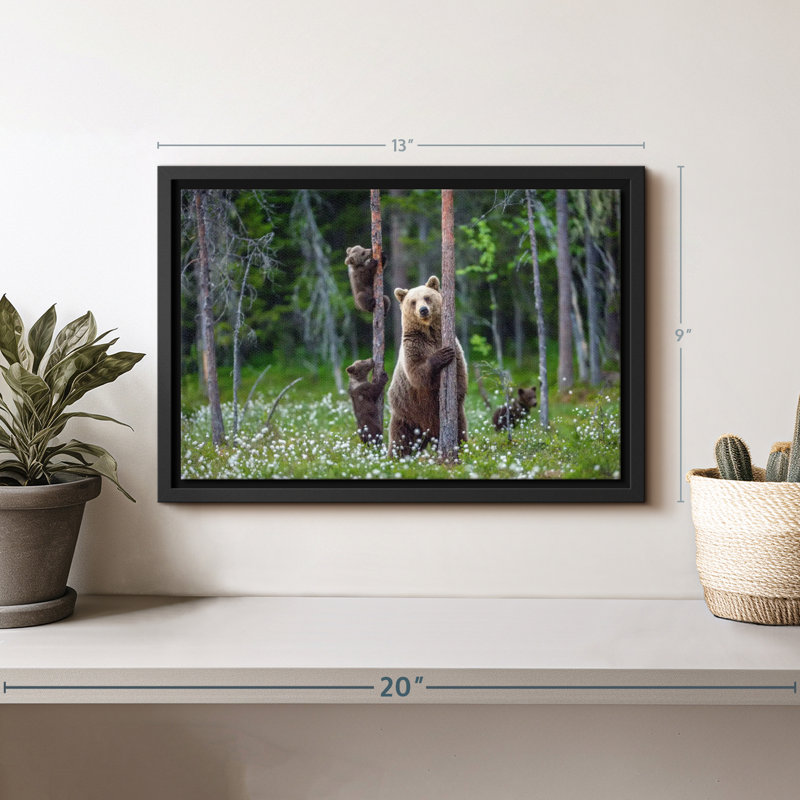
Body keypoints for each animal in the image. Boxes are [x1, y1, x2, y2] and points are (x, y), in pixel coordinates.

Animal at [387, 275, 468, 457]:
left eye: (427, 297)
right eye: (413, 301)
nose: (423, 310)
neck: (429, 333)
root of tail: (428, 432)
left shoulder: (453, 345)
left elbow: (460, 373)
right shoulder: (413, 347)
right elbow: (417, 373)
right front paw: (442, 355)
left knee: (460, 431)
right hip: (407, 413)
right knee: (401, 441)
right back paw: (395, 458)